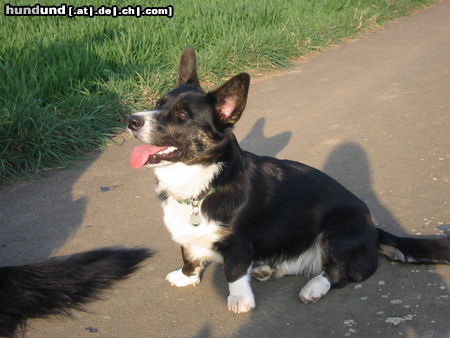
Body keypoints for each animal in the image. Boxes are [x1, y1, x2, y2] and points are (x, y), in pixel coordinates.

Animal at [127, 46, 450, 312]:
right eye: (159, 103)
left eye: (181, 116)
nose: (131, 121)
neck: (202, 180)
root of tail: (374, 228)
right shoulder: (189, 237)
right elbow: (189, 255)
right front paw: (186, 277)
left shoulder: (238, 244)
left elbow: (234, 273)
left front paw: (239, 300)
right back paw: (266, 268)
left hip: (336, 230)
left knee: (340, 273)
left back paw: (313, 288)